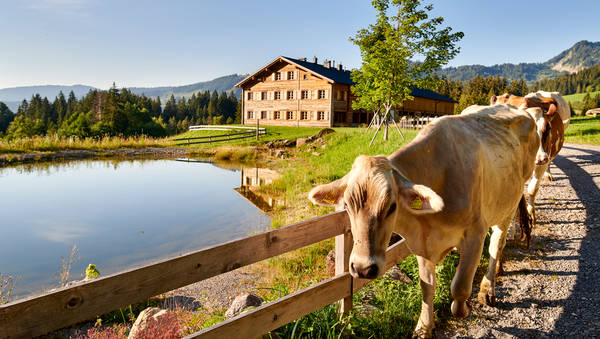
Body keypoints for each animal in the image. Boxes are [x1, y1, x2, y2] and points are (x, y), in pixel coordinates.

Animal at [312, 105, 536, 338]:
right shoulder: (421, 242)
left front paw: (464, 309)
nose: (363, 268)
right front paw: (424, 326)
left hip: (509, 204)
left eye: (392, 206)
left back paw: (487, 289)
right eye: (347, 206)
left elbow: (459, 287)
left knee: (496, 244)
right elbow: (427, 285)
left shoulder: (475, 233)